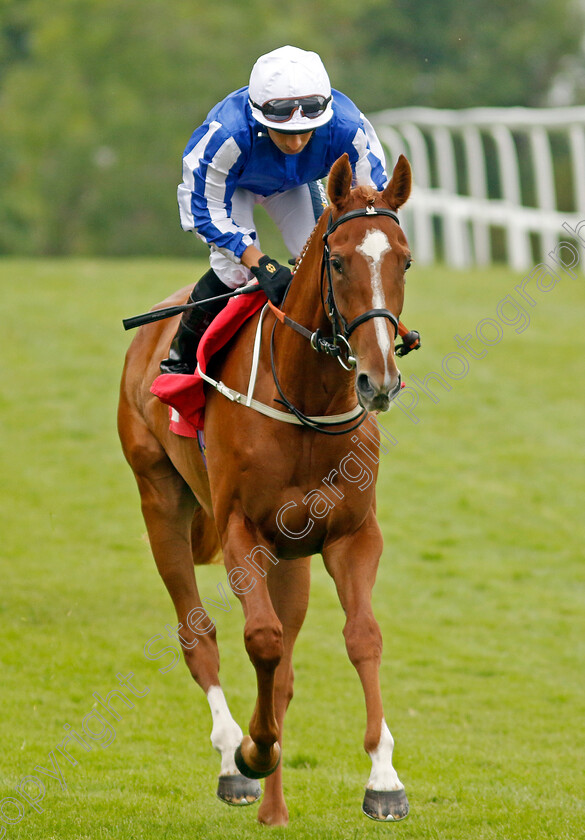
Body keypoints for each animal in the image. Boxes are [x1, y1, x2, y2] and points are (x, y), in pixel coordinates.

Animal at [117, 153, 410, 828]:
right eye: (338, 262)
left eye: (404, 260)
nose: (378, 379)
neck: (307, 399)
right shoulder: (240, 532)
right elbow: (262, 640)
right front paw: (253, 750)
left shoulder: (352, 534)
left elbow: (361, 638)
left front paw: (384, 778)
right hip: (159, 499)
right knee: (199, 635)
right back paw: (235, 763)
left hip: (292, 555)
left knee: (284, 668)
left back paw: (274, 809)